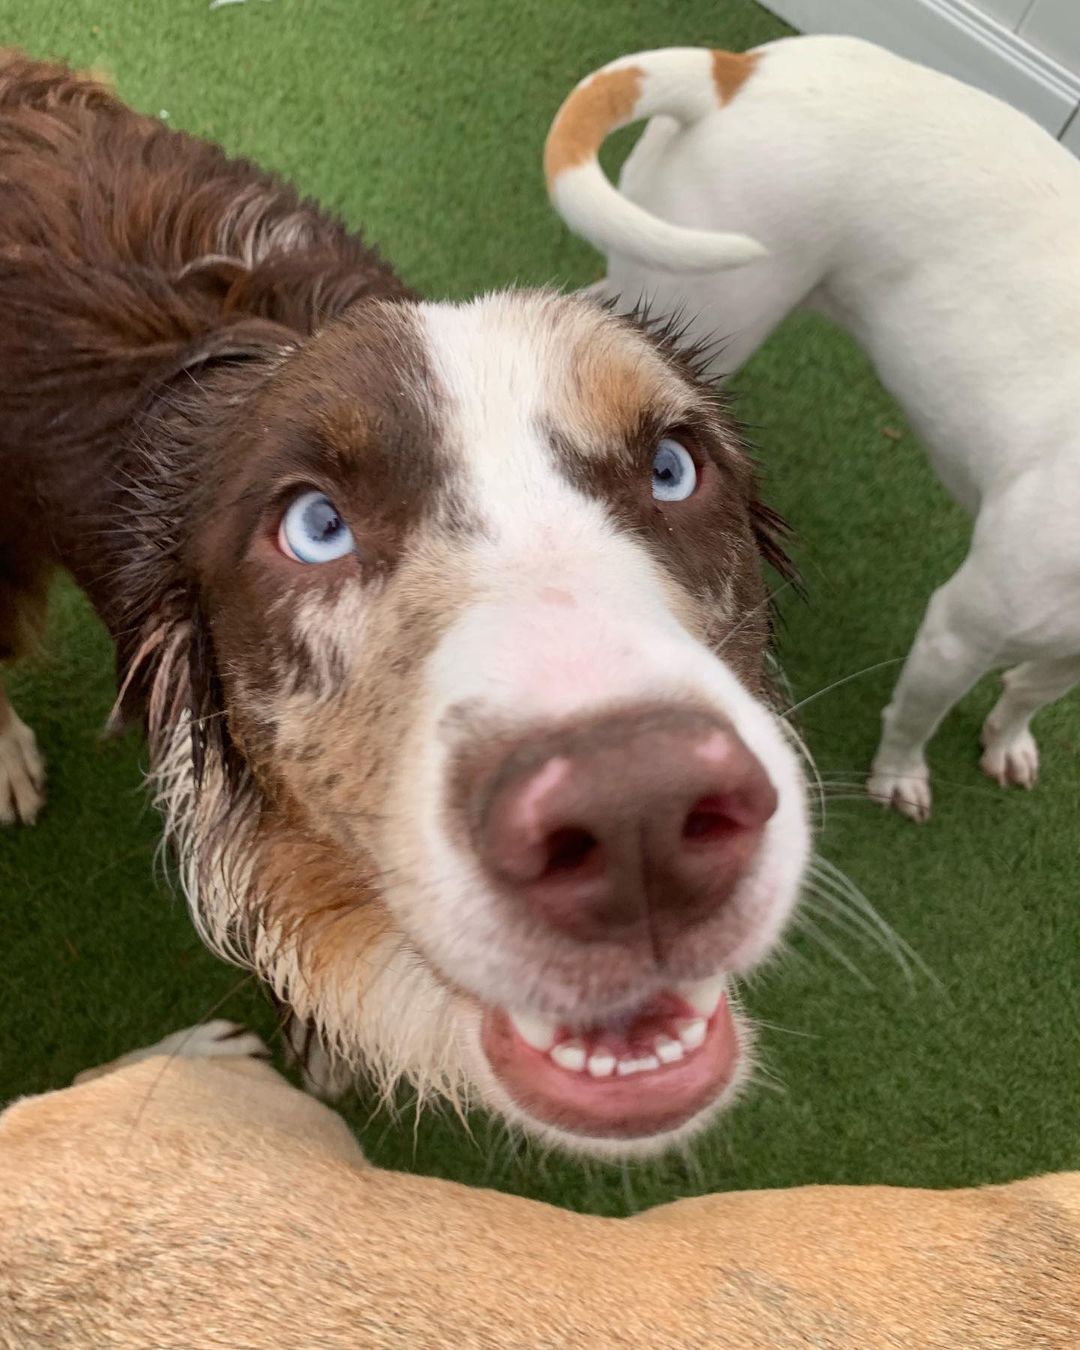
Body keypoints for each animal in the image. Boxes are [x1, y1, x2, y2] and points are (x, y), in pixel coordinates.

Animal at [548, 36, 1080, 820]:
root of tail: (735, 71)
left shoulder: (1065, 653)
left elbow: (1029, 693)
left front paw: (1007, 740)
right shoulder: (957, 628)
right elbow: (914, 717)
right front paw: (899, 776)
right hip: (712, 301)